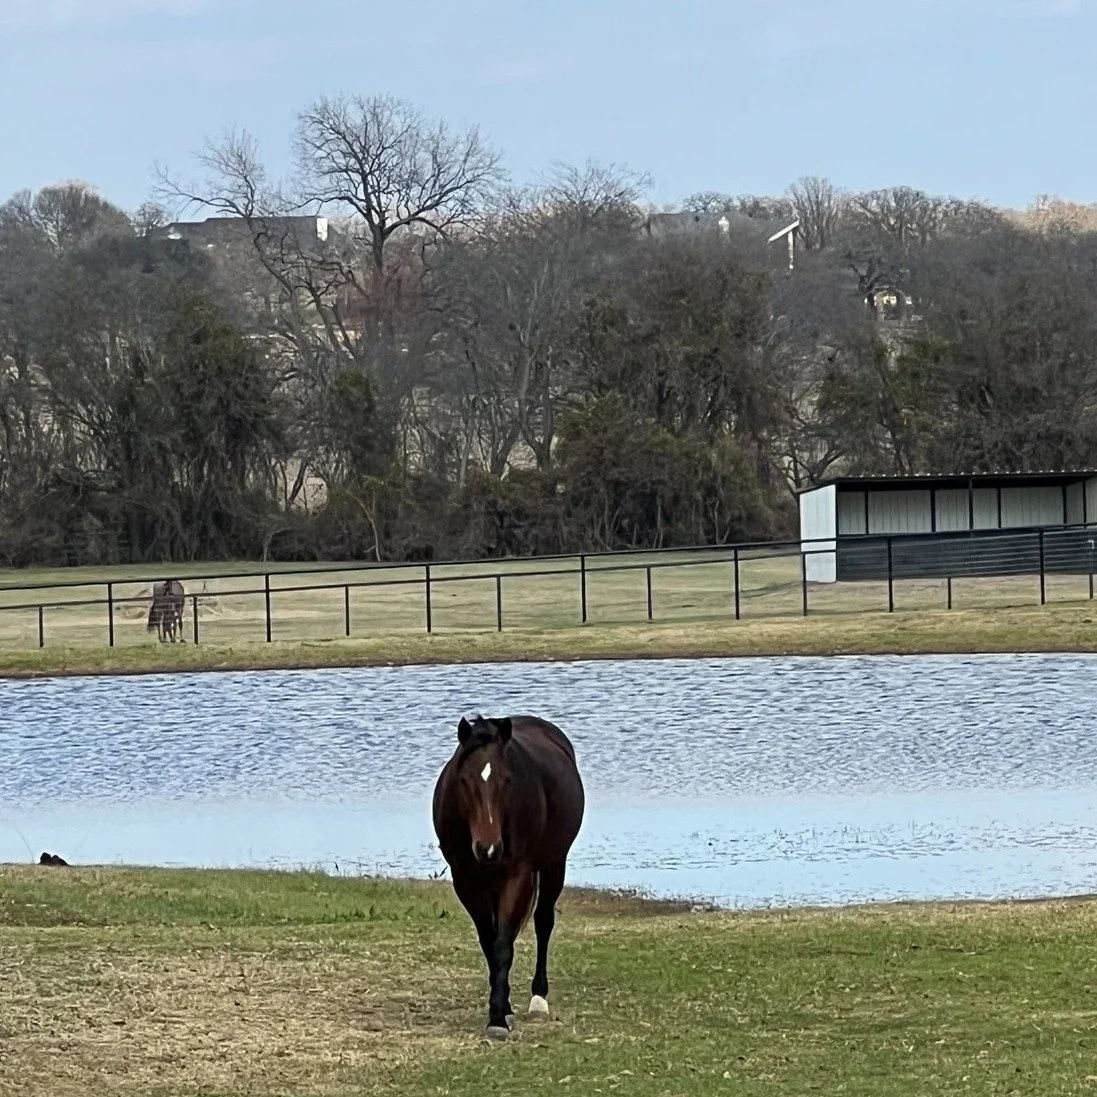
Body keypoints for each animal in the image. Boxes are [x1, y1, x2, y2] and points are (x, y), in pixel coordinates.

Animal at [432, 713, 585, 1041]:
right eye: (464, 781)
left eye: (507, 780)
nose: (488, 848)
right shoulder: (466, 880)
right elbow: (490, 943)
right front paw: (501, 1009)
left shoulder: (518, 875)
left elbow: (503, 945)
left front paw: (498, 1020)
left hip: (554, 865)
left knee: (543, 922)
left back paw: (538, 999)